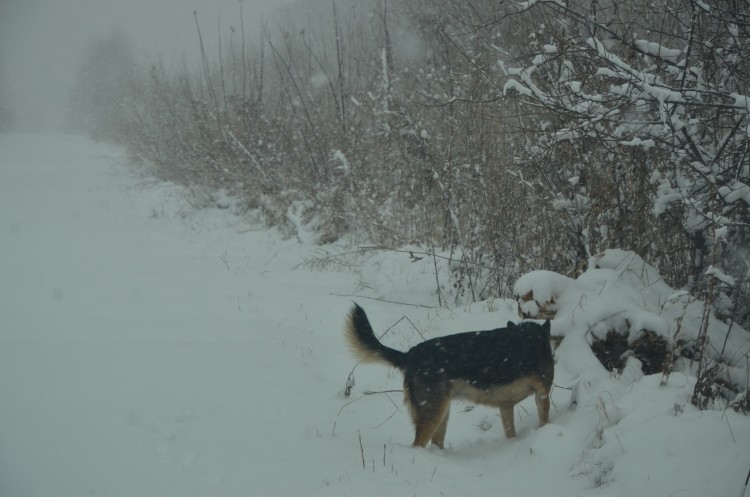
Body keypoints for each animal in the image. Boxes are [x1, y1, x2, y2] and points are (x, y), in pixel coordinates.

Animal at [346, 304, 552, 448]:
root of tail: (409, 355)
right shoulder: (542, 394)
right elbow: (545, 421)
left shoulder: (506, 406)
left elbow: (511, 432)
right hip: (433, 415)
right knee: (417, 445)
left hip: (442, 414)